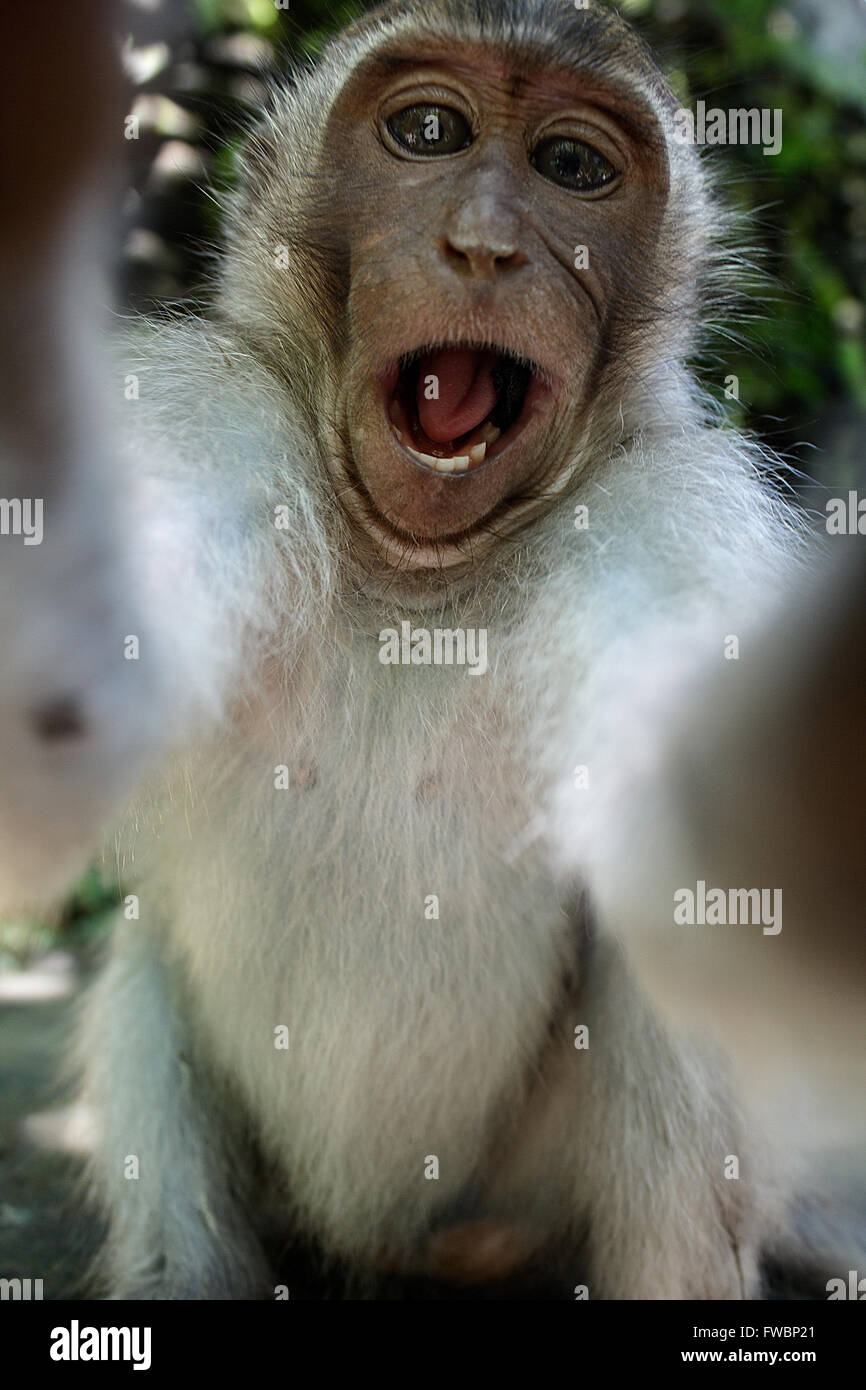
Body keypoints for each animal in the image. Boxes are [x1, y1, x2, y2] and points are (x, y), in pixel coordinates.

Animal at [32, 0, 856, 1301]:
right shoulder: (205, 427)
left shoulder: (667, 524)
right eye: (427, 133)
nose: (482, 247)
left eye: (570, 166)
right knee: (142, 979)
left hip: (517, 1206)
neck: (417, 581)